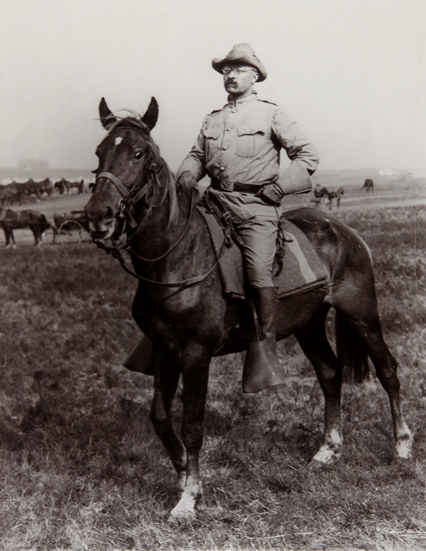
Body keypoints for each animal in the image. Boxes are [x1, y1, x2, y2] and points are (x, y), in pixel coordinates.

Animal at [83, 96, 412, 520]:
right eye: (100, 152)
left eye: (139, 154)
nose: (97, 216)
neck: (178, 256)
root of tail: (344, 231)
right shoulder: (164, 350)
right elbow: (159, 417)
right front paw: (182, 474)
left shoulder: (195, 354)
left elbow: (192, 425)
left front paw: (189, 498)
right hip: (308, 325)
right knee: (330, 374)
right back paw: (329, 449)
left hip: (362, 315)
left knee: (388, 371)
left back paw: (401, 444)